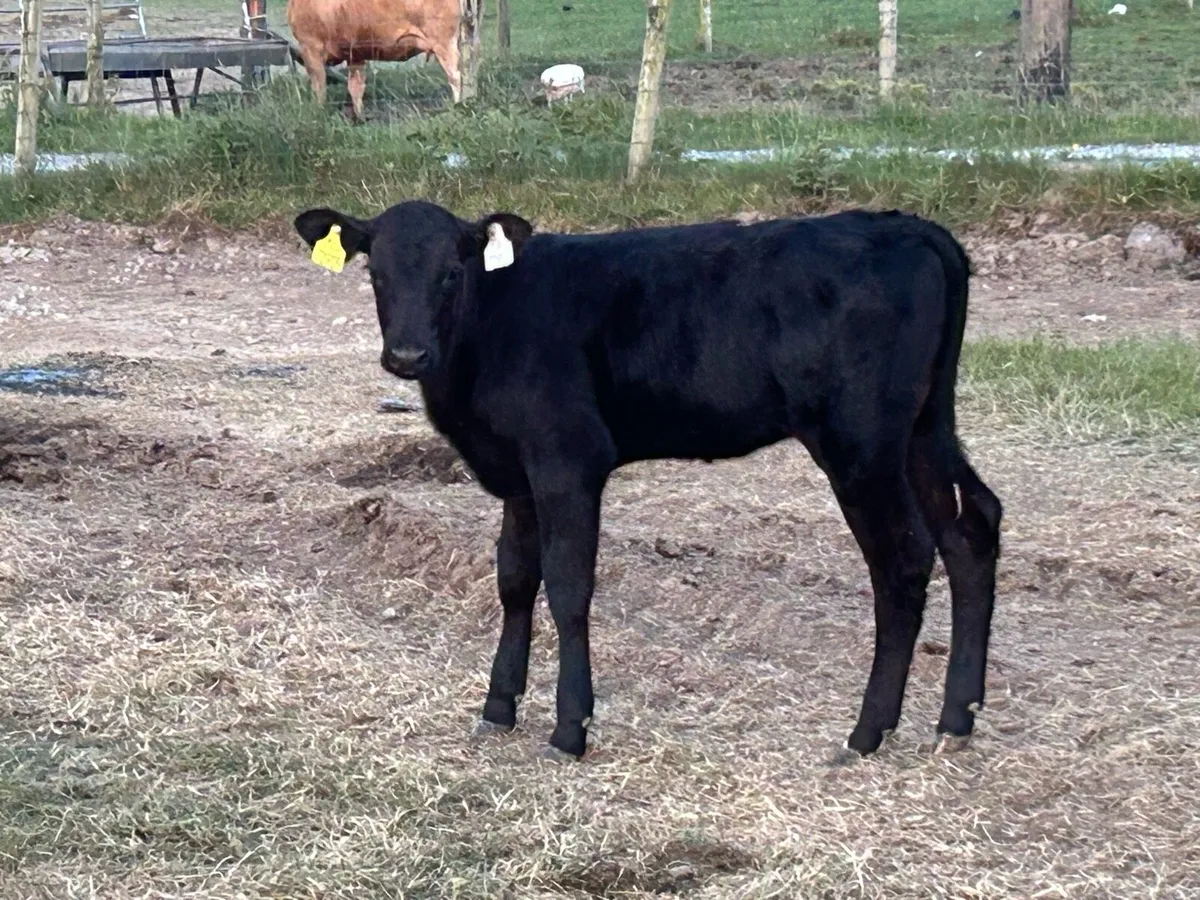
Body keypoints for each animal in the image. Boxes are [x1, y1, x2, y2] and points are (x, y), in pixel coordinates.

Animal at [286, 0, 469, 120]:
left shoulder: (310, 48)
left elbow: (319, 87)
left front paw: (319, 112)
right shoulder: (356, 54)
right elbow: (355, 87)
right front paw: (359, 118)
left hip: (443, 41)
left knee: (455, 76)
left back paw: (458, 106)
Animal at [293, 199, 1004, 761]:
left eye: (451, 273)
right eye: (376, 274)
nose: (406, 355)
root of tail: (907, 226)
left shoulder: (568, 461)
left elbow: (568, 588)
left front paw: (569, 729)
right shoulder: (518, 474)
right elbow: (515, 581)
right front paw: (498, 708)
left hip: (861, 443)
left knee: (903, 560)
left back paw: (868, 731)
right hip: (923, 428)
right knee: (972, 527)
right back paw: (956, 719)